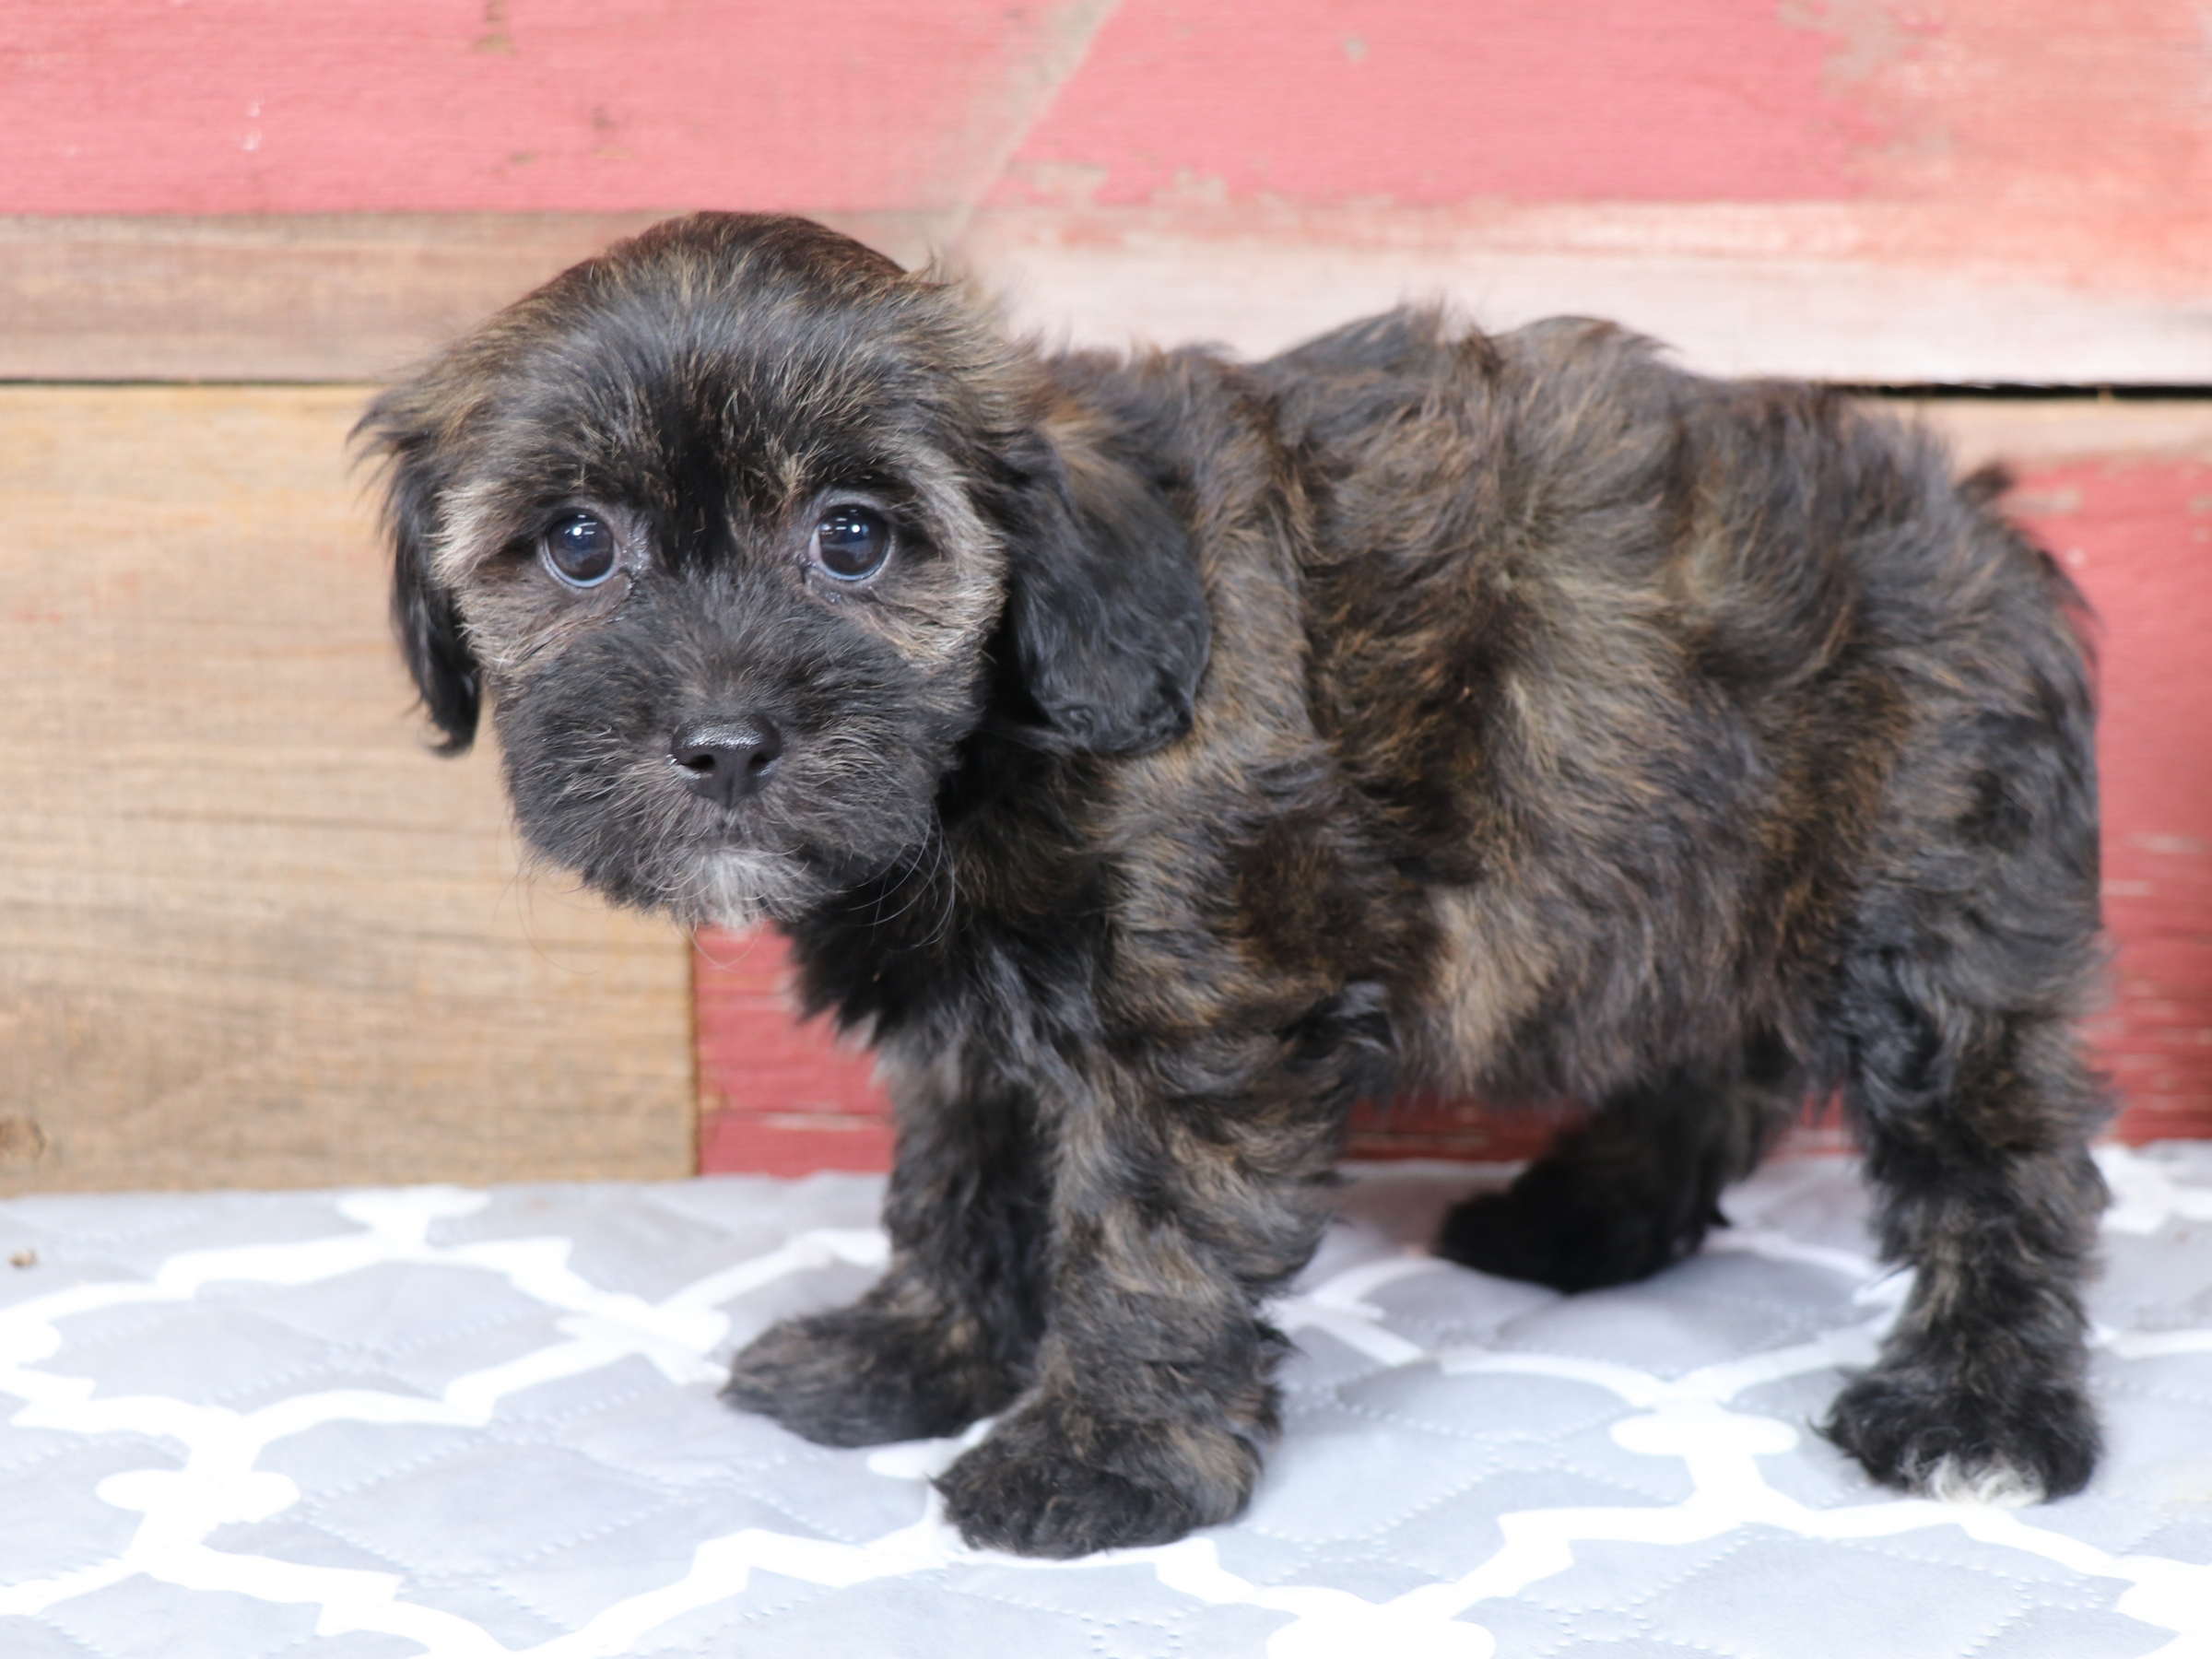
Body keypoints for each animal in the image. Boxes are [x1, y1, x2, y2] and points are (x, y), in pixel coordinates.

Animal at [361, 212, 2109, 1557]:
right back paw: (1590, 1217)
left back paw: (1983, 1411)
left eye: (853, 540)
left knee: (2001, 1165)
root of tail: (1988, 527)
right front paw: (917, 1356)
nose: (722, 744)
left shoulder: (1199, 1025)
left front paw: (1099, 1460)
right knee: (1709, 1052)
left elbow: (1147, 1242)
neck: (1007, 728)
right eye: (577, 544)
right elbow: (960, 1185)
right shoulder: (975, 1032)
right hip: (1681, 868)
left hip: (1924, 907)